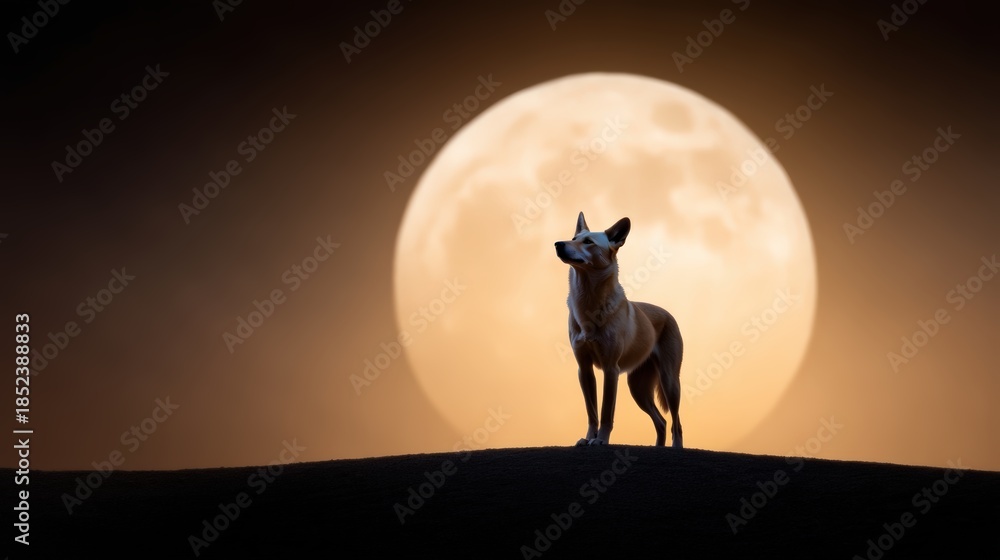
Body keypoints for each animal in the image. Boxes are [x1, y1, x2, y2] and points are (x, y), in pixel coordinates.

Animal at [554, 212, 684, 448]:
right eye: (574, 238)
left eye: (588, 242)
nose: (558, 244)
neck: (589, 301)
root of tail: (667, 313)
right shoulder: (584, 369)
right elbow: (592, 412)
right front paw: (588, 438)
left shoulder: (610, 369)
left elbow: (606, 411)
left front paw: (601, 440)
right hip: (638, 387)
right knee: (661, 421)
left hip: (670, 382)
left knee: (675, 423)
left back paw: (677, 448)